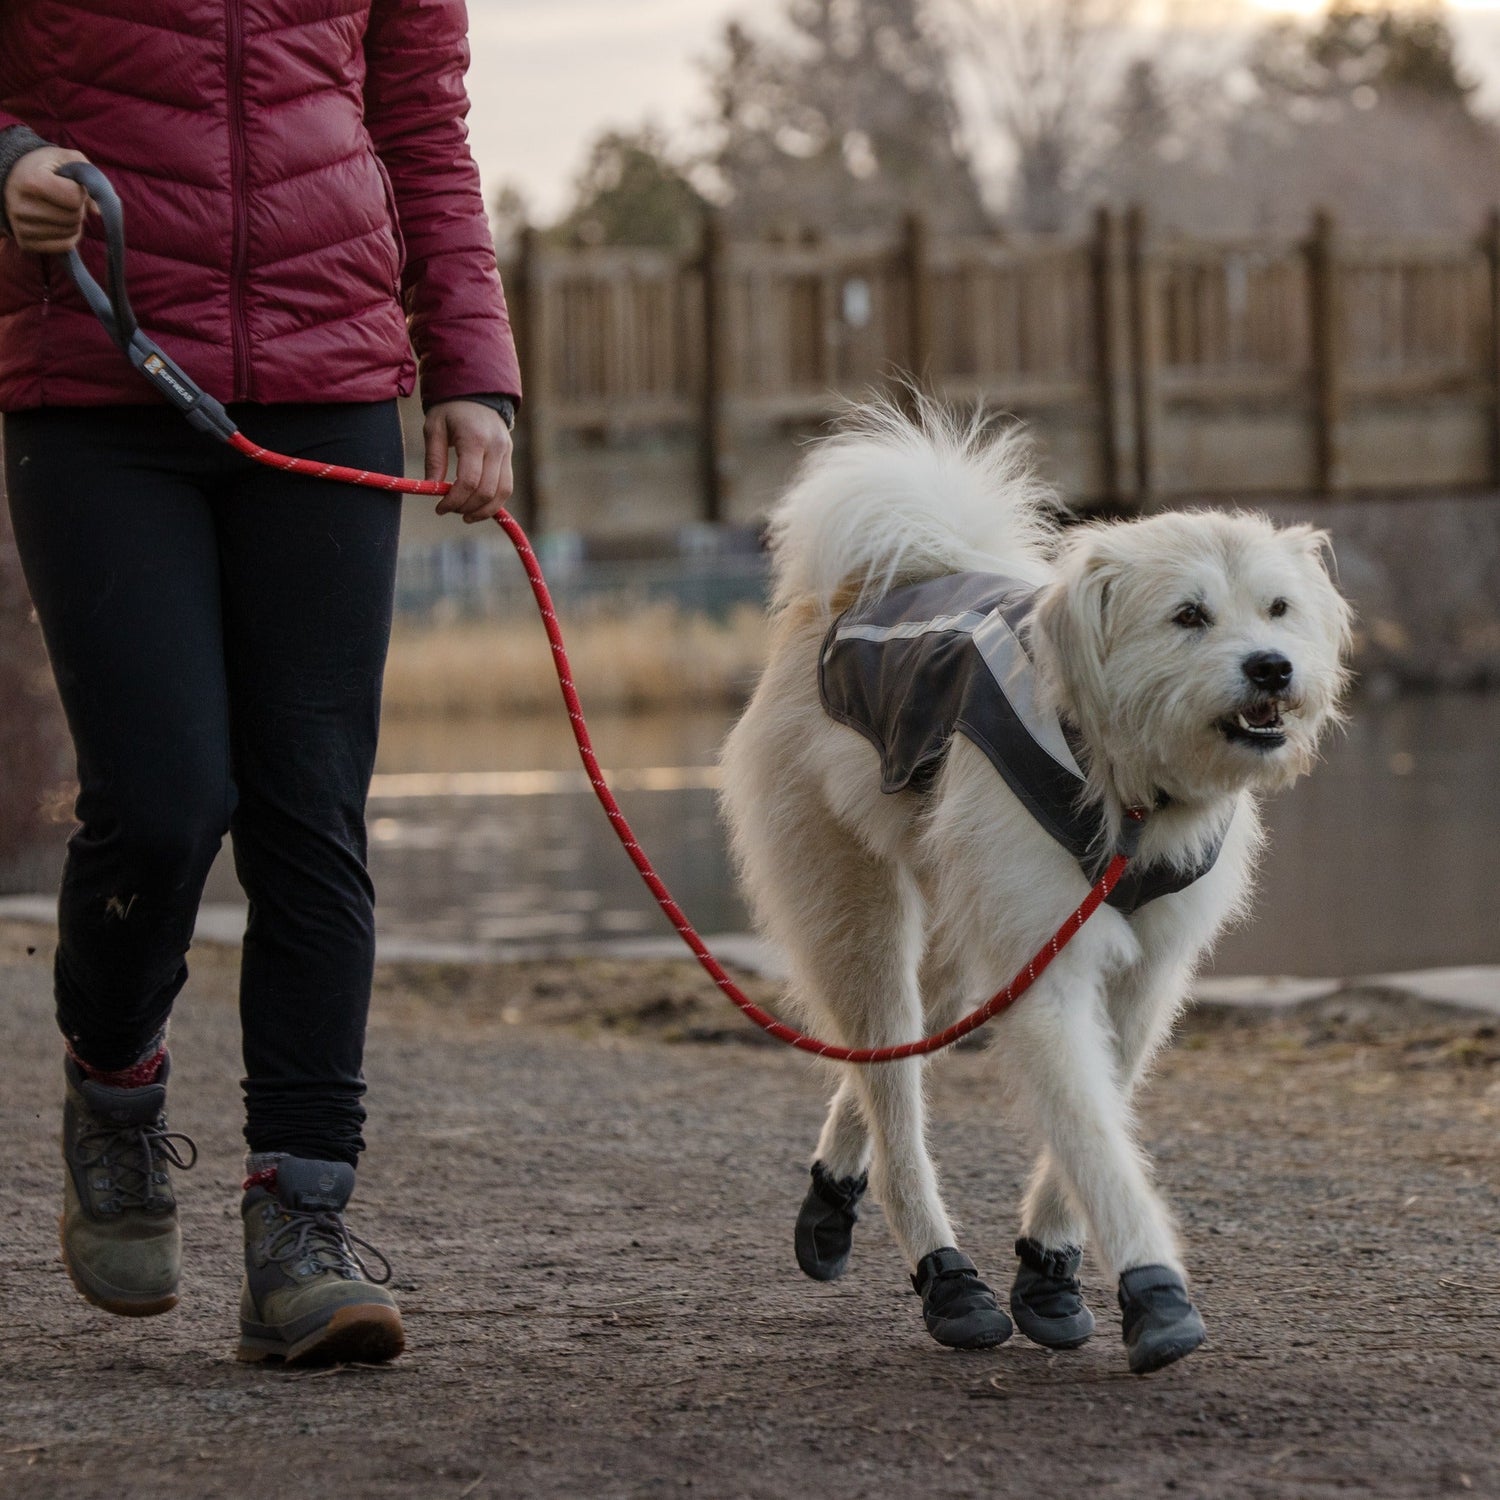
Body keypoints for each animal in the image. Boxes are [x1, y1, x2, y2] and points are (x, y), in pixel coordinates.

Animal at [714, 405, 1350, 1374]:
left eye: (1279, 608)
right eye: (1189, 615)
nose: (1273, 667)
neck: (1127, 787)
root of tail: (863, 586)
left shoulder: (1140, 979)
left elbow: (1096, 1118)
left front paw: (1049, 1275)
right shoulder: (1046, 973)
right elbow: (1091, 1138)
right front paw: (1154, 1291)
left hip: (956, 942)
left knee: (885, 1067)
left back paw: (831, 1201)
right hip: (861, 926)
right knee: (892, 1098)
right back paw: (947, 1280)